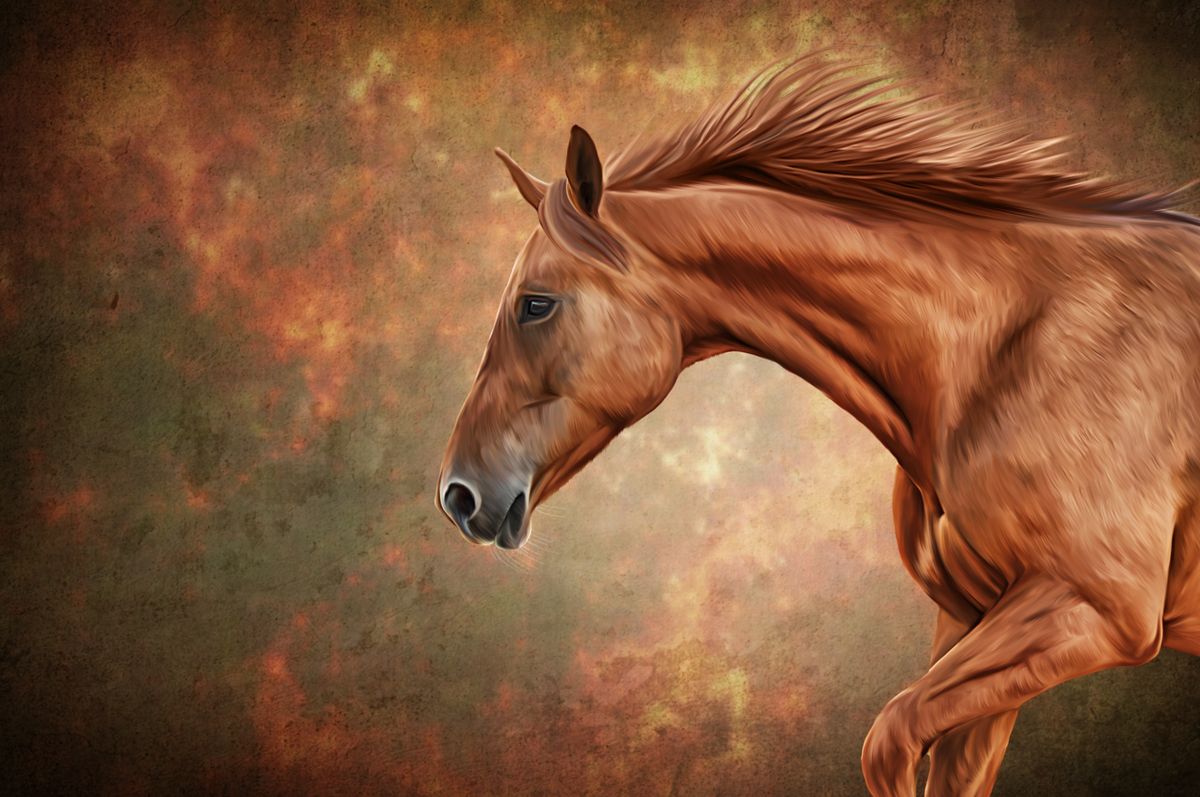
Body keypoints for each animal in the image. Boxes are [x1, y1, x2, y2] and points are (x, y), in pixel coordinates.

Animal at [435, 54, 1200, 796]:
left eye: (536, 304)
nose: (457, 496)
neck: (1006, 343)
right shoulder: (976, 619)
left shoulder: (1097, 609)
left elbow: (888, 741)